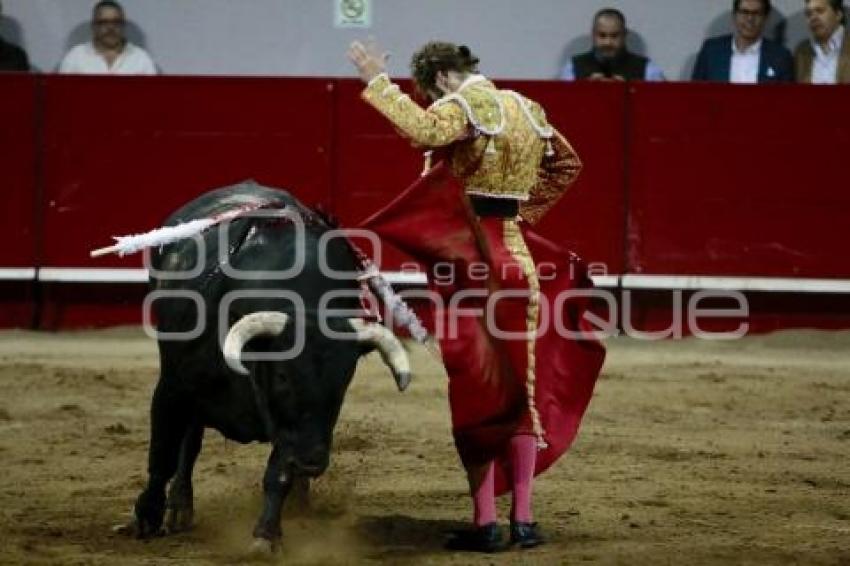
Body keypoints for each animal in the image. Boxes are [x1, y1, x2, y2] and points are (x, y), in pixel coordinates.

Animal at [125, 184, 410, 552]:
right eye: (283, 375)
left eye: (344, 380)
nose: (312, 461)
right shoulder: (173, 386)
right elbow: (163, 451)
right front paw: (145, 517)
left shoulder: (297, 426)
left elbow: (279, 472)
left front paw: (266, 534)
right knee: (188, 440)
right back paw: (179, 507)